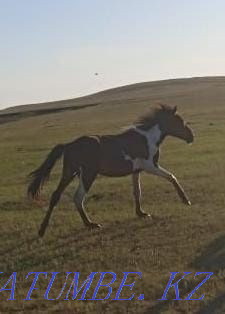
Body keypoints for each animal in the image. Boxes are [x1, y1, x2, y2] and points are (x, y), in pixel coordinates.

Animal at [27, 104, 193, 237]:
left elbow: (137, 191)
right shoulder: (150, 166)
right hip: (88, 174)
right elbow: (172, 177)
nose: (192, 137)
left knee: (56, 196)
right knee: (78, 197)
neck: (147, 138)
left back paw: (42, 230)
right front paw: (186, 200)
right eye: (179, 121)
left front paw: (141, 213)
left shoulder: (137, 170)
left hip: (70, 172)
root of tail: (69, 145)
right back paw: (91, 224)